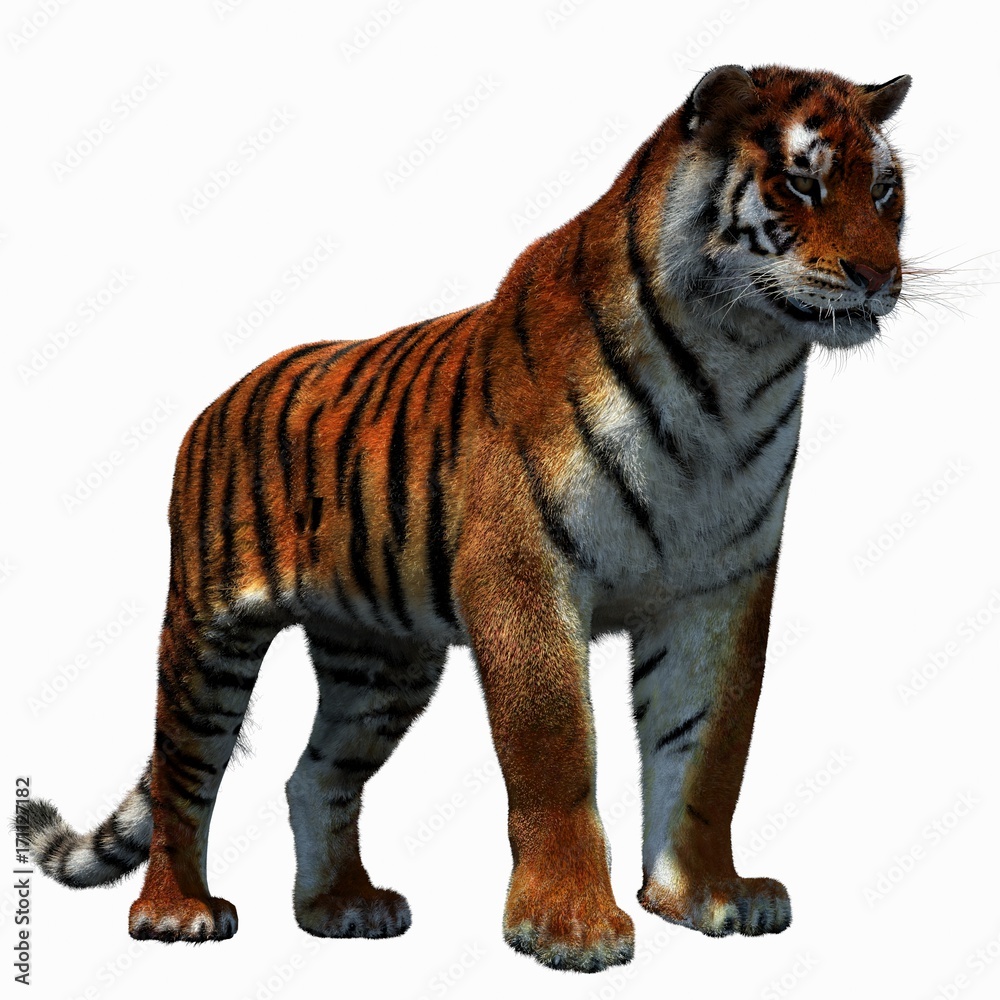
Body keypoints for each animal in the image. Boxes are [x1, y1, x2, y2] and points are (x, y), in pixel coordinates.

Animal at [21, 64, 910, 973]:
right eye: (800, 183)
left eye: (885, 190)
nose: (882, 277)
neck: (733, 374)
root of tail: (220, 398)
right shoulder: (525, 572)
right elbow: (555, 751)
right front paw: (570, 928)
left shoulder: (719, 589)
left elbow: (707, 750)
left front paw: (703, 896)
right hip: (209, 632)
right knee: (182, 775)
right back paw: (177, 912)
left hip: (380, 662)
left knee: (314, 776)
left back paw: (341, 906)